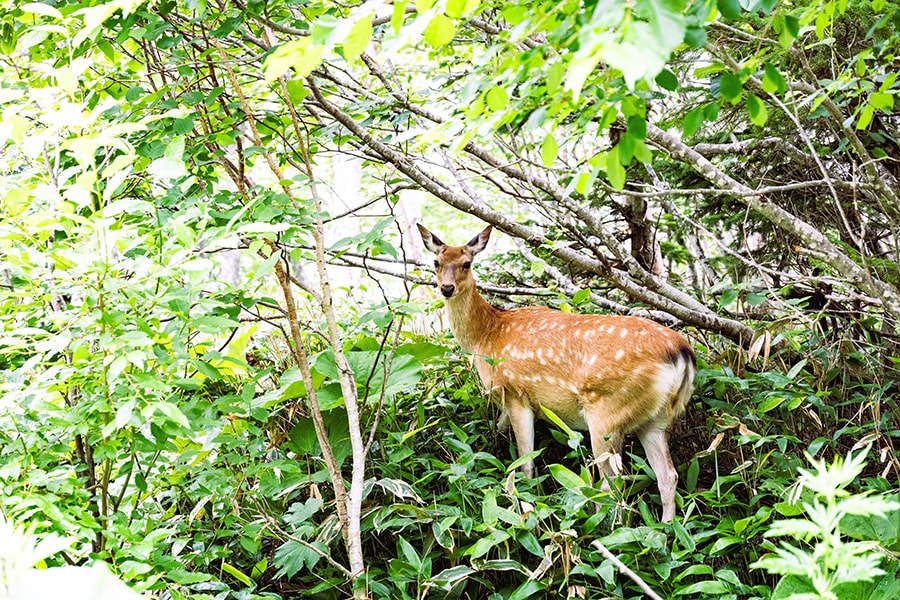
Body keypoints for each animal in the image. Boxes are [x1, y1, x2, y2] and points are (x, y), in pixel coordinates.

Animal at [416, 223, 696, 524]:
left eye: (467, 263)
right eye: (436, 262)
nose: (446, 288)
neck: (487, 335)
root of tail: (682, 354)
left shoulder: (515, 392)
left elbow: (525, 463)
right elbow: (501, 432)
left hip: (606, 412)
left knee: (613, 483)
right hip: (656, 419)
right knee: (667, 475)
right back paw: (666, 527)